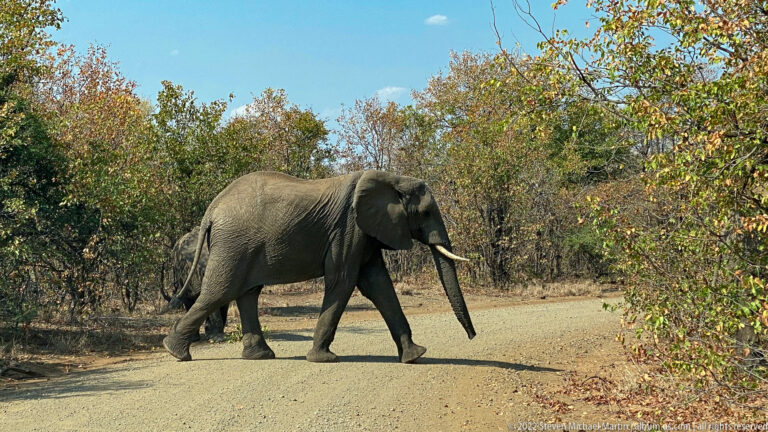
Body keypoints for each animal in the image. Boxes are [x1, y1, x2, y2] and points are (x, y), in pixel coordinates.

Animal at [163, 170, 476, 363]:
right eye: (426, 212)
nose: (473, 337)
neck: (391, 178)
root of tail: (213, 208)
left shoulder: (365, 232)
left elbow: (378, 285)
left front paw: (416, 355)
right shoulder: (349, 229)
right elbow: (344, 281)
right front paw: (323, 358)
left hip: (242, 245)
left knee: (247, 292)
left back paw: (260, 356)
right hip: (234, 244)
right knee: (220, 291)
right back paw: (176, 352)